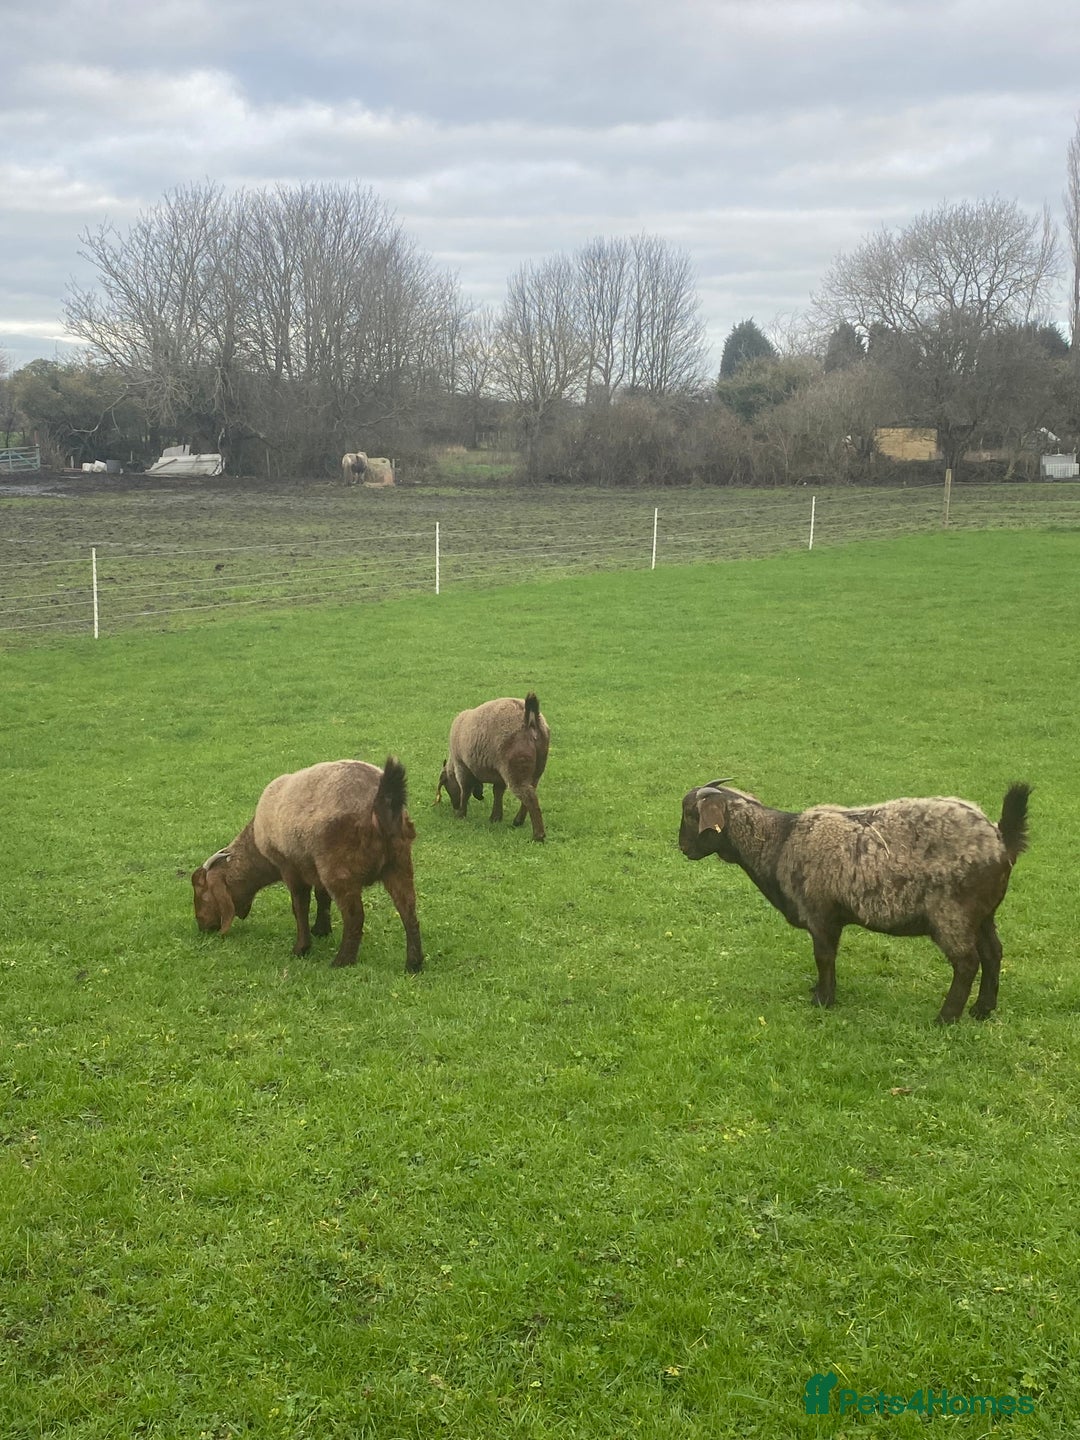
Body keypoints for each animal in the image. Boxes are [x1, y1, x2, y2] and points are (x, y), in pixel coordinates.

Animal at [192, 756, 422, 972]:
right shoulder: (315, 869)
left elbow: (299, 907)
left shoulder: (290, 868)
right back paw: (414, 964)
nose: (202, 927)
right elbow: (322, 898)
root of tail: (383, 804)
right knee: (408, 910)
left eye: (202, 893)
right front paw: (321, 929)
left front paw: (301, 948)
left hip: (339, 868)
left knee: (355, 917)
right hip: (399, 862)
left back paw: (342, 961)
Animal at [437, 693, 550, 841]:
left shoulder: (462, 766)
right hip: (535, 769)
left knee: (530, 797)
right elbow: (498, 793)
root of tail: (529, 719)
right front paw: (495, 818)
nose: (455, 806)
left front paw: (461, 814)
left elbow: (465, 790)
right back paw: (518, 821)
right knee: (531, 792)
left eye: (446, 786)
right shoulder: (498, 775)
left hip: (515, 770)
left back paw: (538, 835)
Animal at [679, 780, 1031, 1022]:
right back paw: (982, 1009)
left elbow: (824, 958)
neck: (780, 841)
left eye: (691, 814)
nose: (683, 848)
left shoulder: (820, 915)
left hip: (952, 914)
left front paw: (823, 1000)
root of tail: (1001, 839)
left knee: (967, 962)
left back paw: (946, 1018)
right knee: (993, 954)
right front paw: (820, 992)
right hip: (982, 914)